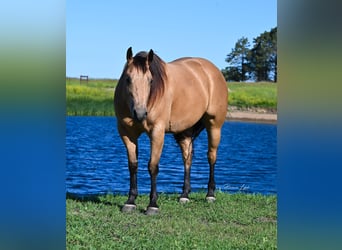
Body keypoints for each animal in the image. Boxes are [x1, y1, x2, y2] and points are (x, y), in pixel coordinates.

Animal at [113, 47, 228, 215]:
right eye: (128, 79)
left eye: (151, 80)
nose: (140, 113)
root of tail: (212, 70)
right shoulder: (127, 133)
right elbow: (132, 165)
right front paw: (130, 201)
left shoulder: (157, 132)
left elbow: (153, 166)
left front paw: (153, 204)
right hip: (185, 132)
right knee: (187, 158)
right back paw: (184, 195)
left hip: (214, 125)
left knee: (211, 157)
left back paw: (210, 194)